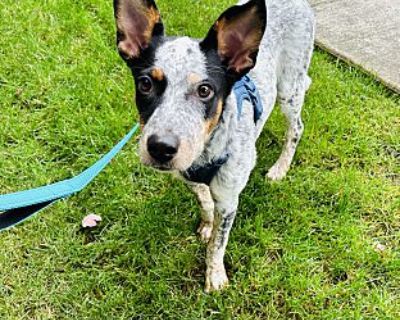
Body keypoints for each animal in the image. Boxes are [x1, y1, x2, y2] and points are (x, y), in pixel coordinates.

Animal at [111, 0, 312, 292]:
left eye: (205, 90)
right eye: (145, 84)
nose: (160, 148)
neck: (204, 154)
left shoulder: (229, 200)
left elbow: (218, 244)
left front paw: (215, 277)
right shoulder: (187, 177)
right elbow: (205, 202)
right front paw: (207, 225)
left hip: (290, 88)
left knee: (296, 128)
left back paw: (280, 168)